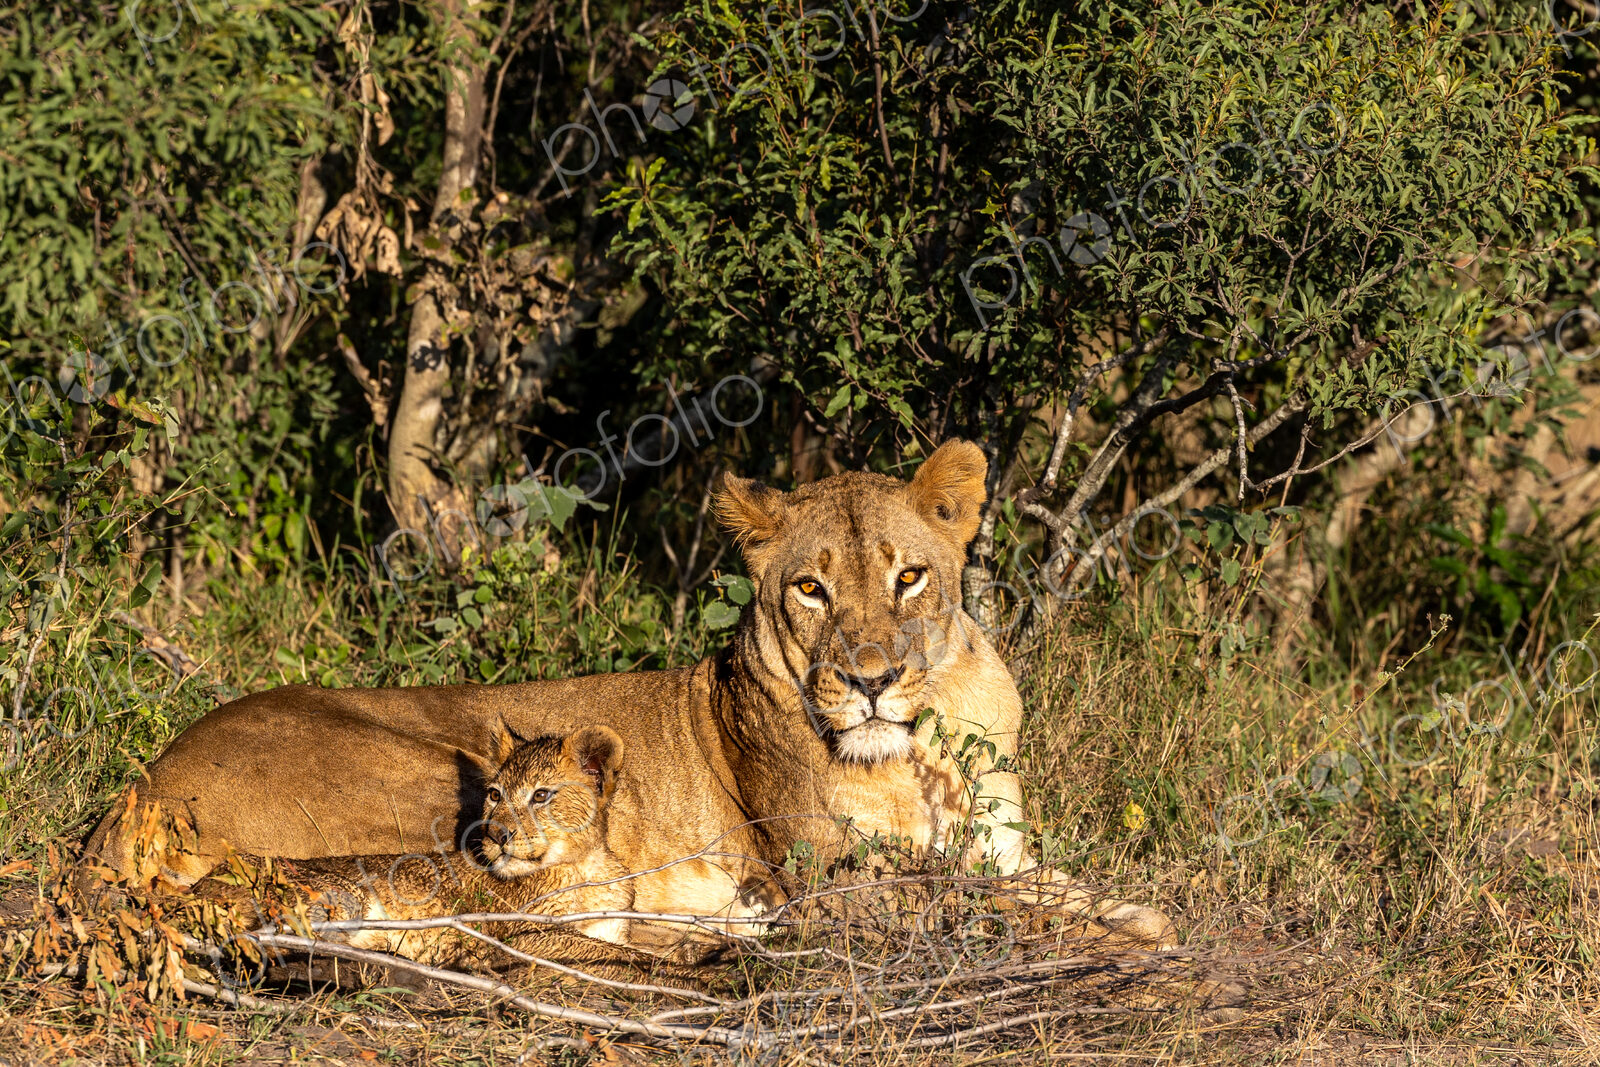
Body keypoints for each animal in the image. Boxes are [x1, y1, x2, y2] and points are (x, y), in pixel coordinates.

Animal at [83, 440, 1175, 947]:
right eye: (810, 588)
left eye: (909, 576)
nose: (869, 679)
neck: (921, 744)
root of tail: (136, 790)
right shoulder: (825, 872)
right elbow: (990, 902)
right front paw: (1124, 932)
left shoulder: (998, 844)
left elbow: (1049, 883)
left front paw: (1136, 913)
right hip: (432, 783)